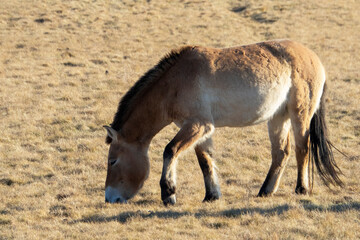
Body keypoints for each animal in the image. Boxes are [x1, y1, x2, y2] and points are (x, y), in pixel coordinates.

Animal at [102, 40, 342, 205]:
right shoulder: (199, 129)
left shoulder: (198, 125)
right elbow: (205, 161)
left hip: (299, 114)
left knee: (302, 149)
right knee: (281, 152)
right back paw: (265, 191)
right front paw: (212, 195)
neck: (175, 82)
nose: (109, 198)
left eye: (113, 161)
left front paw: (169, 194)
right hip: (277, 117)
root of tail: (313, 57)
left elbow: (170, 150)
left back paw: (302, 189)